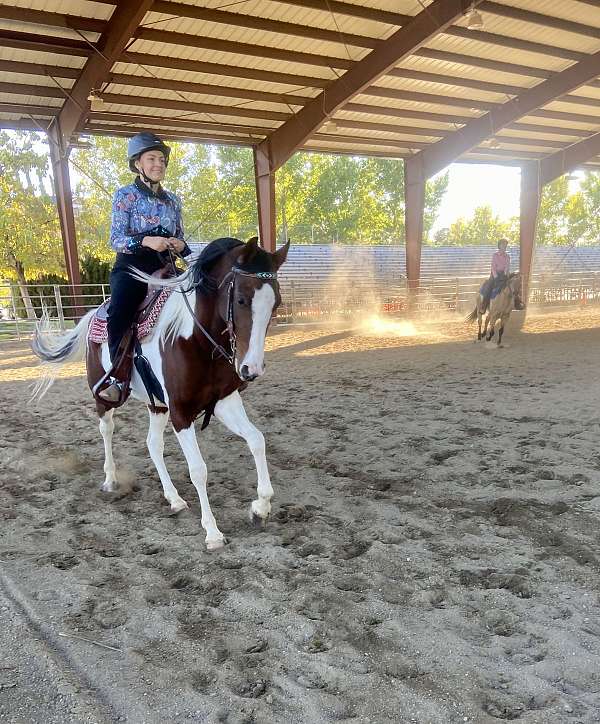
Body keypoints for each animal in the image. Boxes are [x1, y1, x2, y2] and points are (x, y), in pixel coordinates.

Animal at [32, 238, 290, 548]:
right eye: (241, 299)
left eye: (276, 303)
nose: (252, 368)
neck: (194, 339)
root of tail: (95, 312)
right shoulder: (181, 412)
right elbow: (198, 470)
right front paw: (213, 532)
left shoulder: (224, 401)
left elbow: (257, 440)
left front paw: (260, 509)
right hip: (102, 396)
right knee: (106, 430)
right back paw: (110, 480)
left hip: (157, 405)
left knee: (153, 443)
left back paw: (174, 499)